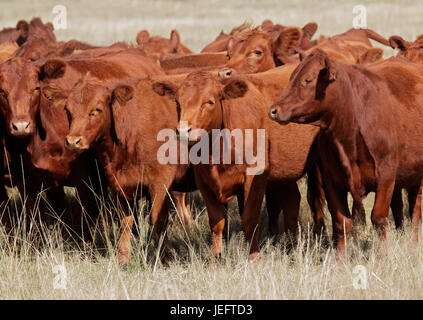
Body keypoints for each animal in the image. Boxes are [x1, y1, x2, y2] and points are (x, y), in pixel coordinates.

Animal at [152, 71, 322, 262]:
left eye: (210, 102)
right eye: (177, 102)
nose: (183, 131)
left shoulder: (255, 177)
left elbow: (249, 219)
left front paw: (254, 260)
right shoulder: (204, 181)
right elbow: (217, 222)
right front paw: (214, 261)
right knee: (292, 201)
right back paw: (290, 246)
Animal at [270, 48, 423, 252]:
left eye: (308, 80)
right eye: (291, 77)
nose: (273, 110)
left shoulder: (386, 175)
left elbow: (379, 218)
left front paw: (382, 255)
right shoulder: (331, 179)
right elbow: (341, 222)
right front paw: (340, 259)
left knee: (415, 209)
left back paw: (413, 243)